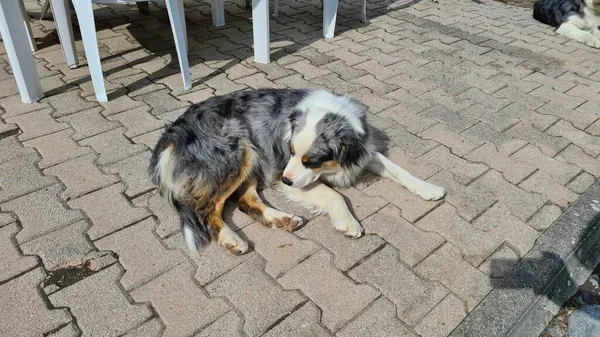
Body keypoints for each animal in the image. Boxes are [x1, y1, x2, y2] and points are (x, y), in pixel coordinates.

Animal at [148, 88, 442, 253]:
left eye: (312, 160)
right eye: (290, 151)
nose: (287, 182)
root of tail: (172, 133)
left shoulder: (362, 152)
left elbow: (398, 169)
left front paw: (428, 188)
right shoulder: (280, 169)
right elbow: (335, 195)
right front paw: (347, 221)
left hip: (252, 157)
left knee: (245, 200)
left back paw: (283, 219)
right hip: (238, 151)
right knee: (208, 209)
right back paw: (232, 239)